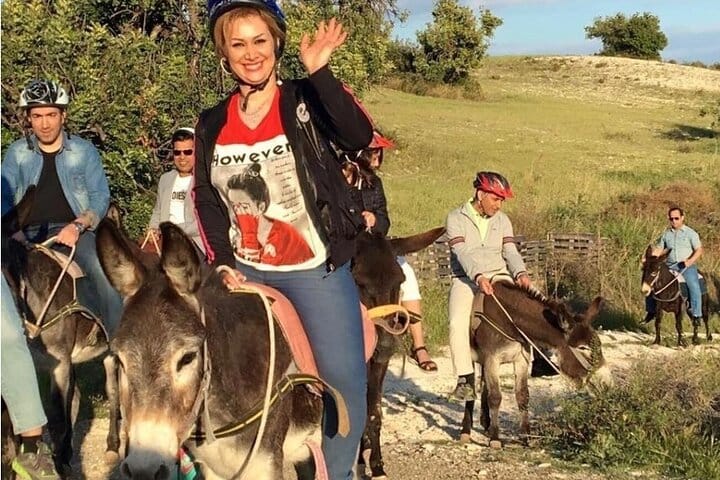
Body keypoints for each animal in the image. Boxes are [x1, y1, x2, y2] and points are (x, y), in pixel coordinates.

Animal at [352, 227, 446, 480]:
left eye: (400, 280)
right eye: (358, 281)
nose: (385, 345)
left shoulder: (376, 366)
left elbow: (373, 412)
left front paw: (375, 466)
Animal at [460, 282, 611, 448]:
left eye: (599, 345)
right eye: (583, 348)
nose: (607, 383)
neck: (511, 322)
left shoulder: (521, 360)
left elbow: (523, 396)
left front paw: (526, 436)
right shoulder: (492, 360)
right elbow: (495, 397)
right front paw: (495, 439)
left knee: (484, 386)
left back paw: (486, 422)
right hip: (471, 357)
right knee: (470, 390)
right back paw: (466, 430)